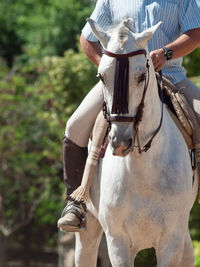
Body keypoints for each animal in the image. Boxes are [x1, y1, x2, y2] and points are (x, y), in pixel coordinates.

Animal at [74, 18, 197, 267]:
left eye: (141, 76)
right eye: (102, 77)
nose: (120, 142)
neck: (142, 168)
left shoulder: (172, 240)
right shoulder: (117, 242)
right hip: (88, 229)